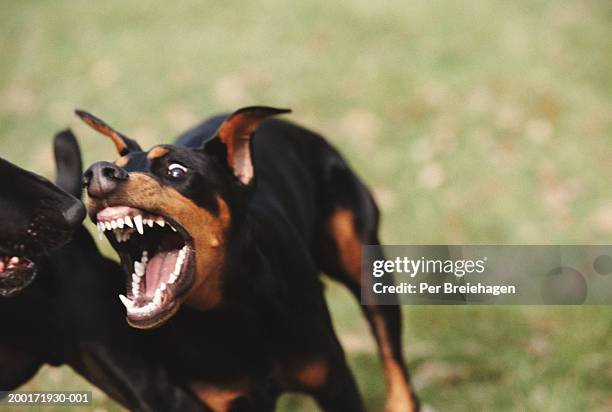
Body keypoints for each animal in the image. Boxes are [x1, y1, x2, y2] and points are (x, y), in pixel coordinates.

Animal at [79, 107, 418, 412]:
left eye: (177, 171)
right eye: (113, 165)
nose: (96, 174)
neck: (234, 310)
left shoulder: (332, 379)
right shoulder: (227, 400)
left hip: (364, 262)